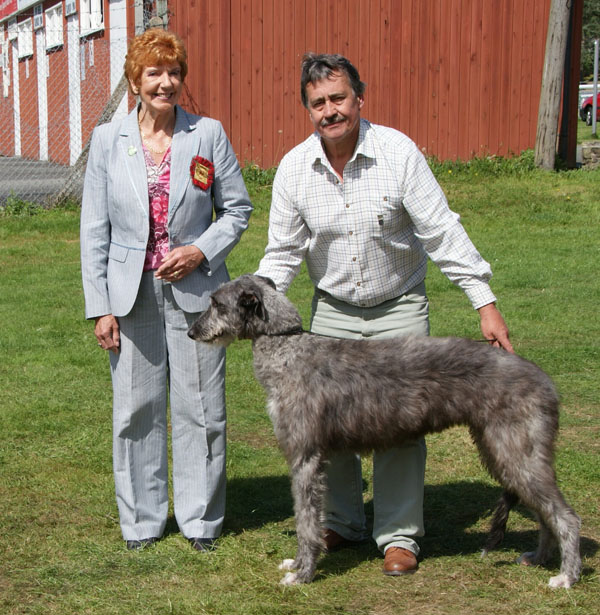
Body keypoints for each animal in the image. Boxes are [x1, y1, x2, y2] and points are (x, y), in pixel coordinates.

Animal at [189, 276, 580, 588]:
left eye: (215, 303)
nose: (192, 332)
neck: (288, 349)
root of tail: (545, 381)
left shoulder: (305, 458)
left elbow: (305, 521)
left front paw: (303, 574)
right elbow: (308, 520)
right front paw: (297, 564)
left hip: (515, 451)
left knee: (566, 516)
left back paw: (566, 576)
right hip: (500, 450)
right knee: (545, 512)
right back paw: (540, 558)